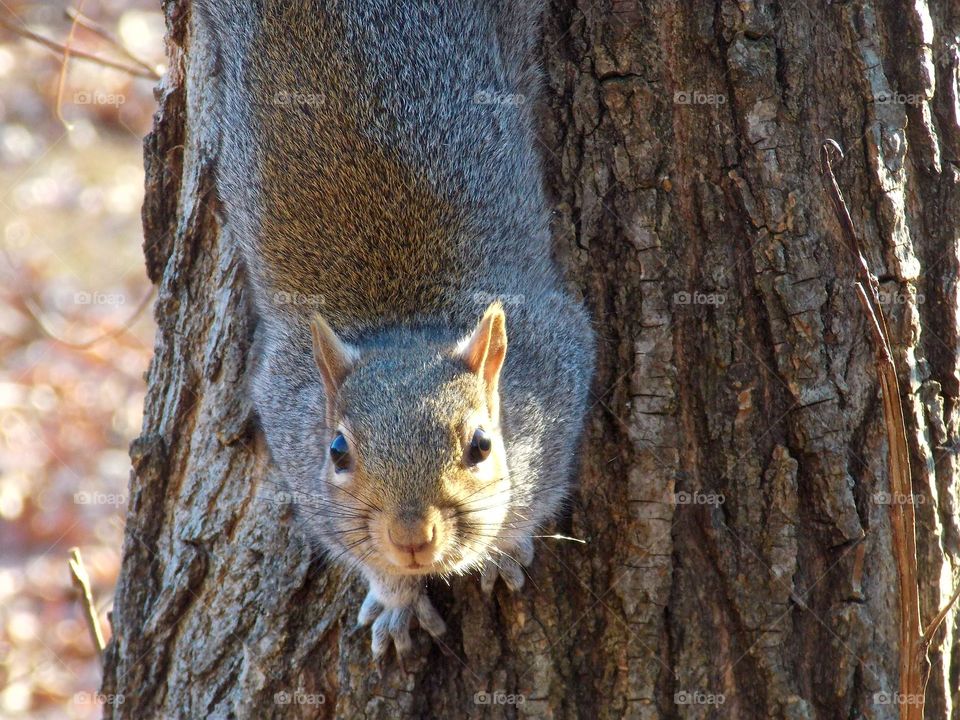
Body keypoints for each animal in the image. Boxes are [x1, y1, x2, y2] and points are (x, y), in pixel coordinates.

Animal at [197, 0, 592, 656]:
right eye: (337, 451)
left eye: (482, 446)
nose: (412, 537)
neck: (406, 325)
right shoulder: (289, 425)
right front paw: (397, 598)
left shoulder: (560, 366)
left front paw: (504, 551)